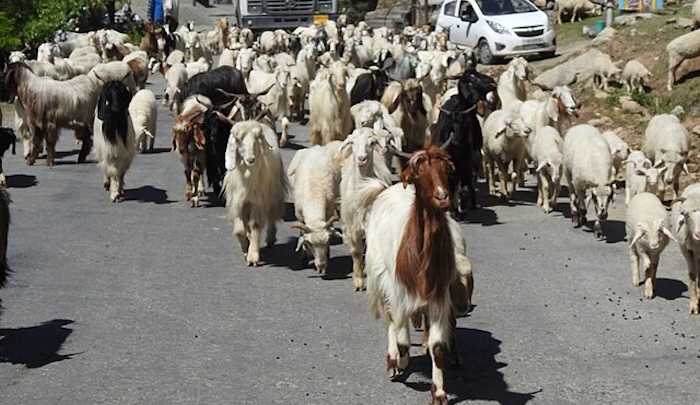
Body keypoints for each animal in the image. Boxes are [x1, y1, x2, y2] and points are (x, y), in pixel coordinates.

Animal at [223, 120, 288, 267]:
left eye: (256, 139)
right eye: (238, 140)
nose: (251, 159)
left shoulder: (258, 201)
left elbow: (255, 225)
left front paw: (252, 256)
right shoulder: (237, 202)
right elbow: (239, 229)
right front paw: (245, 247)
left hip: (272, 194)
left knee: (271, 217)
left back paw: (270, 238)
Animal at [287, 145, 342, 275]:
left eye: (328, 241)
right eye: (310, 243)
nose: (321, 266)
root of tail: (315, 147)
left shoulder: (329, 210)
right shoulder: (300, 217)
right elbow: (302, 235)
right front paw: (304, 257)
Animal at [339, 128, 393, 291]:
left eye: (372, 142)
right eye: (352, 142)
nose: (362, 158)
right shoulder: (352, 224)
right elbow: (356, 252)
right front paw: (358, 281)